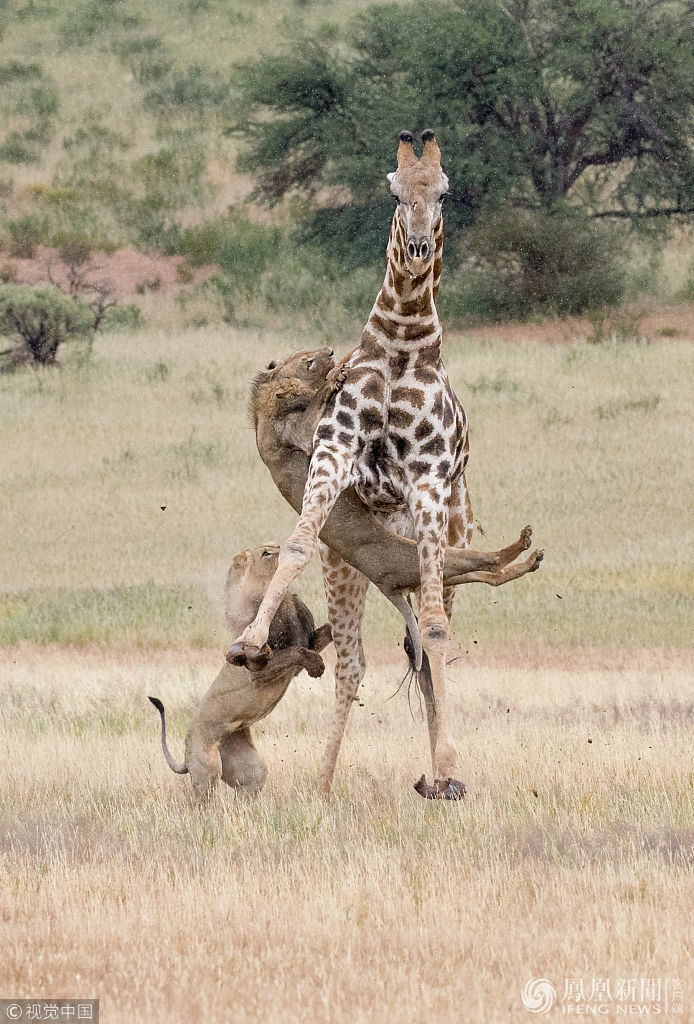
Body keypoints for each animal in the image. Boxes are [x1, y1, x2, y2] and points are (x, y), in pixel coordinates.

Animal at [148, 548, 331, 802]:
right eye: (265, 553)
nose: (279, 550)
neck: (283, 601)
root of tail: (184, 754)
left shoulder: (310, 640)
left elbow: (323, 634)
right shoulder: (257, 667)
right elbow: (295, 652)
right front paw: (317, 666)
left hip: (249, 766)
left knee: (247, 790)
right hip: (207, 767)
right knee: (199, 799)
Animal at [232, 130, 472, 798]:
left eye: (445, 191)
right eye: (393, 190)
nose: (417, 251)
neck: (402, 348)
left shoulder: (427, 480)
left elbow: (436, 630)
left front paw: (447, 765)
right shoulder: (335, 454)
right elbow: (293, 546)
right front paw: (250, 641)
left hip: (446, 530)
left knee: (435, 634)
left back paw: (444, 775)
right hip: (349, 558)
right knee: (355, 659)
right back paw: (323, 781)